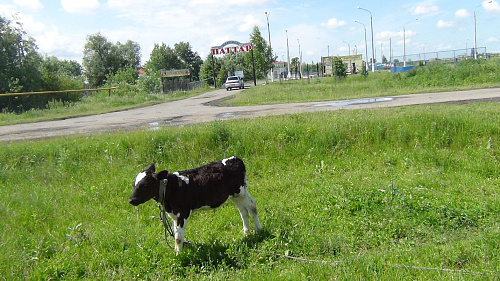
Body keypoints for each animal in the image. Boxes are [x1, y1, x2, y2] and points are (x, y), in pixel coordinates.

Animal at [128, 155, 262, 252]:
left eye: (145, 185)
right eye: (134, 184)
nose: (131, 200)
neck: (170, 187)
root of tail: (235, 159)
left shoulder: (183, 213)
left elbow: (178, 238)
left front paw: (179, 255)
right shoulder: (174, 215)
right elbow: (176, 235)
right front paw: (177, 252)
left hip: (241, 191)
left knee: (252, 206)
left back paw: (259, 230)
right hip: (234, 195)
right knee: (243, 211)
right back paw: (246, 232)